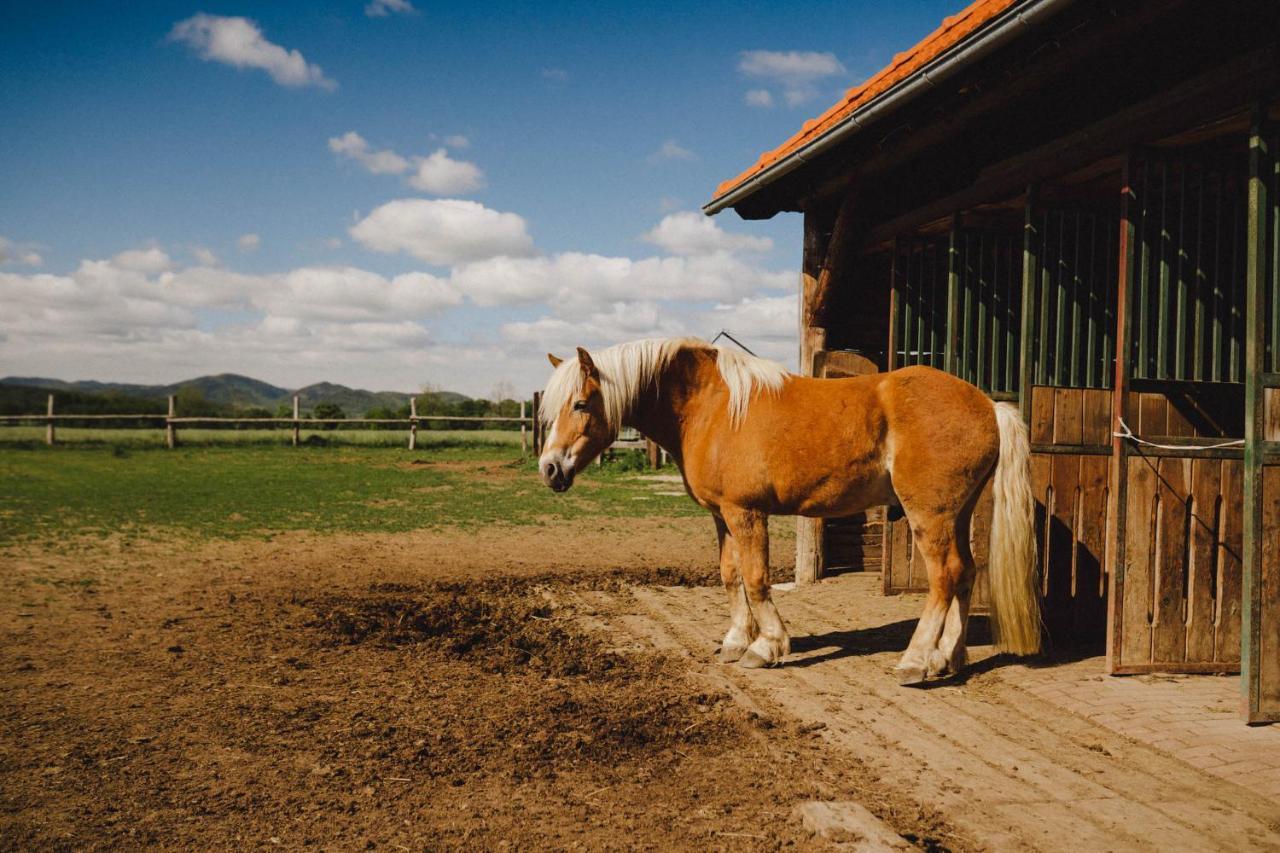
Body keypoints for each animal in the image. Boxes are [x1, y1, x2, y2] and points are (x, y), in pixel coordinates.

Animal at [535, 335, 1034, 681]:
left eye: (581, 403)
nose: (550, 468)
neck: (711, 406)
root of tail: (988, 404)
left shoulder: (745, 513)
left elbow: (756, 581)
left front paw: (767, 647)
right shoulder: (721, 516)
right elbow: (730, 576)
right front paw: (735, 642)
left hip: (929, 516)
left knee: (944, 577)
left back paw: (915, 662)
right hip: (958, 514)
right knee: (966, 574)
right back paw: (949, 658)